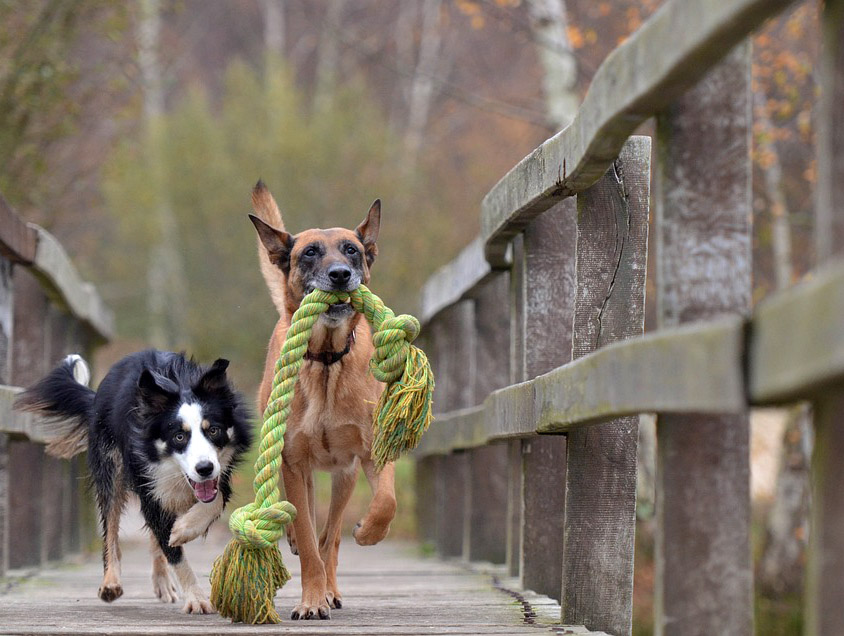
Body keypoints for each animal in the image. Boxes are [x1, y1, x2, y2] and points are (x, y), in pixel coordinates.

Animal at [14, 350, 251, 612]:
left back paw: (162, 580)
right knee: (111, 528)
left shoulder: (221, 472)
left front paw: (184, 529)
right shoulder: (147, 482)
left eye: (213, 431)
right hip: (110, 467)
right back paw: (110, 583)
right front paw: (196, 598)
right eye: (179, 436)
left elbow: (214, 500)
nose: (204, 469)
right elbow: (173, 552)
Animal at [249, 181, 398, 620]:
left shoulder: (371, 453)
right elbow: (307, 536)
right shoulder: (293, 462)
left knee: (330, 537)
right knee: (309, 529)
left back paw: (333, 584)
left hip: (343, 476)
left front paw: (368, 532)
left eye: (351, 249)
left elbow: (384, 502)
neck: (328, 361)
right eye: (310, 252)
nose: (340, 275)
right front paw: (311, 601)